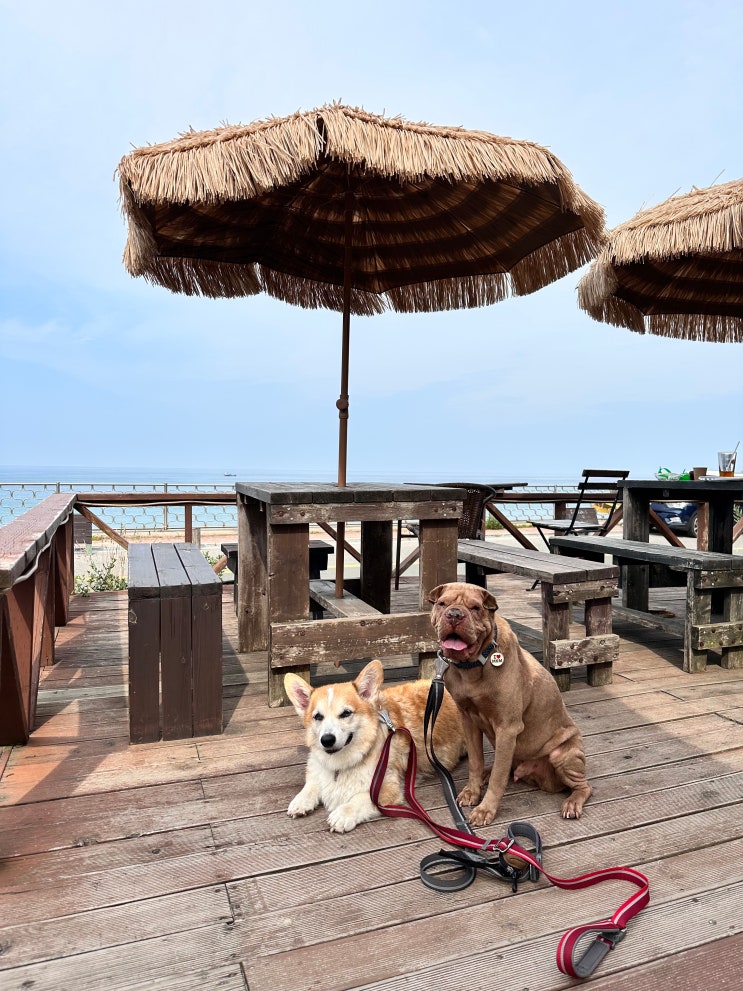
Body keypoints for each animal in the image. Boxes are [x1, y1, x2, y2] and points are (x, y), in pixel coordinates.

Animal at [284, 659, 467, 833]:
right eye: (317, 717)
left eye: (346, 713)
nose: (327, 740)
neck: (341, 763)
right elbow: (311, 784)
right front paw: (300, 801)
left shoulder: (388, 788)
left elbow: (360, 798)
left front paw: (342, 814)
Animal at [429, 582, 592, 825]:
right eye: (442, 603)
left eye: (475, 608)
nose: (455, 615)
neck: (473, 666)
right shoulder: (468, 720)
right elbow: (475, 762)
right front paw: (471, 792)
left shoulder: (507, 727)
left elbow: (499, 778)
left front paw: (485, 810)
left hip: (563, 754)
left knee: (584, 786)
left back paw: (572, 803)